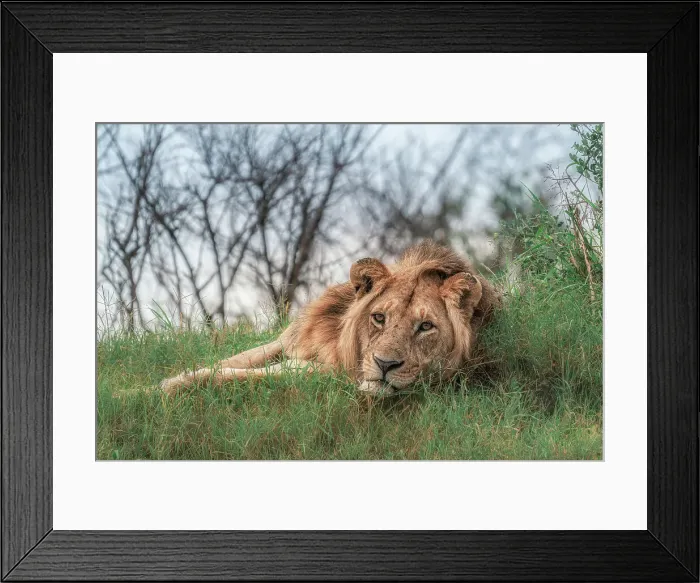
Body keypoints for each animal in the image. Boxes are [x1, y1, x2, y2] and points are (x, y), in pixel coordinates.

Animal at [159, 240, 500, 397]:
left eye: (426, 326)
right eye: (379, 318)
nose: (385, 365)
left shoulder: (322, 373)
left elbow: (227, 375)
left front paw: (160, 389)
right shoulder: (285, 342)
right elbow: (230, 362)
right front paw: (165, 381)